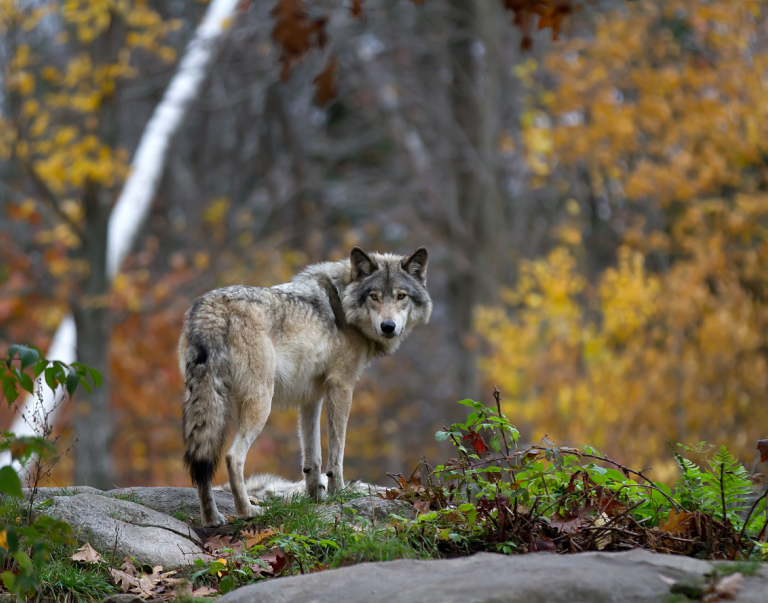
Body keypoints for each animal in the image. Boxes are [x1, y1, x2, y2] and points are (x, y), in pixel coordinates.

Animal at [179, 247, 432, 526]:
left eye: (401, 296)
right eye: (374, 296)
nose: (388, 327)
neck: (343, 303)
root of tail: (212, 307)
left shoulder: (310, 397)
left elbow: (313, 458)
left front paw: (315, 499)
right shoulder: (341, 386)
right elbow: (336, 453)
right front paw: (337, 494)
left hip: (204, 400)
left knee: (201, 461)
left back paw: (212, 518)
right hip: (260, 403)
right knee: (233, 457)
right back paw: (248, 511)